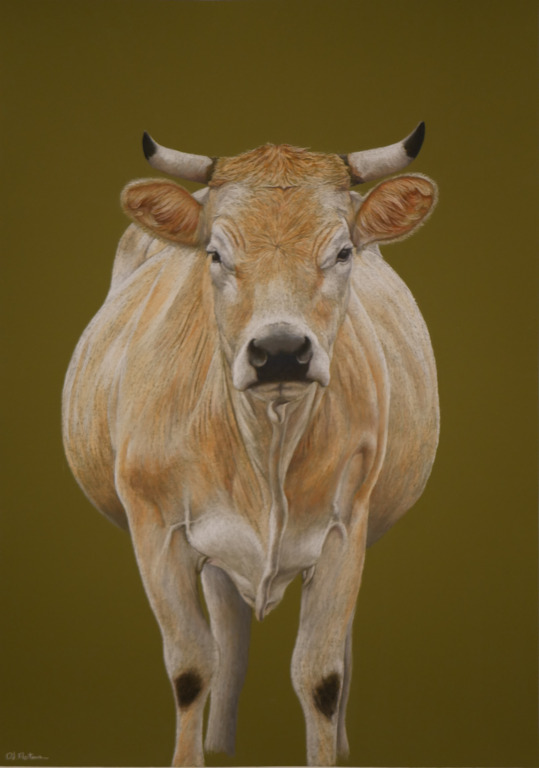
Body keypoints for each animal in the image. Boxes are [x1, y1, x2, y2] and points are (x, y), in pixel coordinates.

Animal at [62, 123, 439, 767]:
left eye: (343, 252)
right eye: (215, 253)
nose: (282, 350)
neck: (266, 448)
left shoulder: (345, 530)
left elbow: (322, 677)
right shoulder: (155, 529)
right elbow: (192, 667)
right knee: (229, 634)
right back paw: (220, 745)